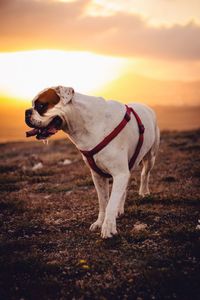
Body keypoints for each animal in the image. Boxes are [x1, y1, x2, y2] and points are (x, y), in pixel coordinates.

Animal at [25, 86, 159, 239]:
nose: (26, 112)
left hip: (150, 157)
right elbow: (103, 202)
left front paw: (108, 227)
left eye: (41, 106)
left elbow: (111, 203)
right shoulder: (98, 175)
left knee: (144, 174)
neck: (84, 123)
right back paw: (120, 209)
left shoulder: (119, 173)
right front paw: (100, 222)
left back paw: (144, 192)